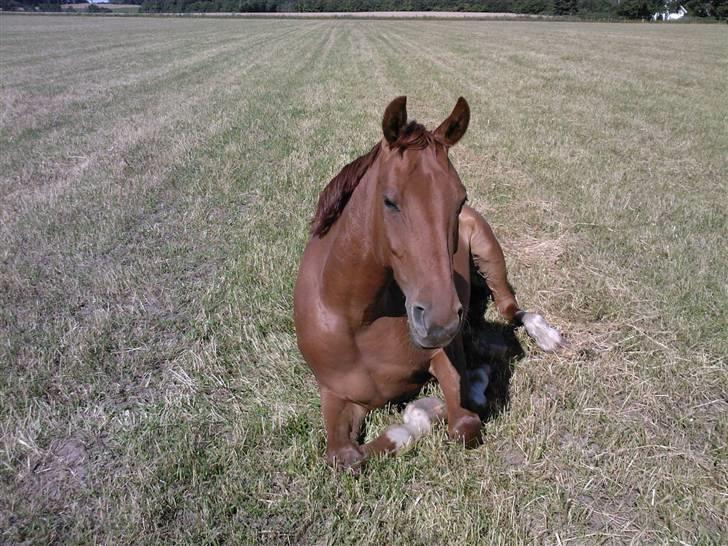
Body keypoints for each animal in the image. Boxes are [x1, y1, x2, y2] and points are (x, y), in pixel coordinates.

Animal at [294, 94, 564, 468]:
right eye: (389, 201)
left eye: (460, 199)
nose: (440, 323)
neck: (356, 318)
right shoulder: (336, 395)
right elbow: (345, 458)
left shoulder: (444, 354)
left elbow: (464, 424)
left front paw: (432, 407)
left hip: (490, 257)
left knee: (512, 310)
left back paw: (545, 336)